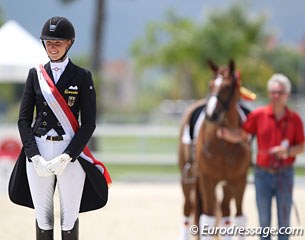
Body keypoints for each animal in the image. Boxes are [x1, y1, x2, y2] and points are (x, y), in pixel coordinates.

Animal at [178, 58, 249, 240]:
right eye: (211, 85)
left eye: (227, 87)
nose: (211, 114)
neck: (224, 144)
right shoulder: (207, 179)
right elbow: (207, 218)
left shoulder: (238, 180)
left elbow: (239, 218)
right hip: (187, 179)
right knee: (188, 209)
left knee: (225, 212)